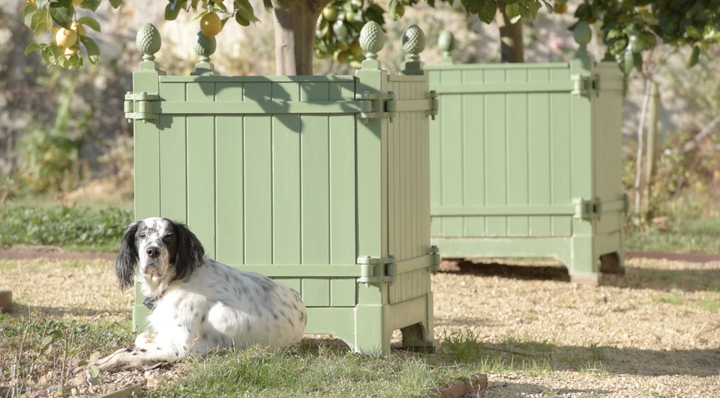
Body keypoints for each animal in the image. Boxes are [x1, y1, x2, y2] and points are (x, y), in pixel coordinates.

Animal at [91, 216, 306, 372]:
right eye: (142, 235)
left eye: (169, 237)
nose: (152, 251)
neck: (175, 281)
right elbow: (141, 338)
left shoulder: (180, 346)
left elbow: (126, 350)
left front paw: (101, 363)